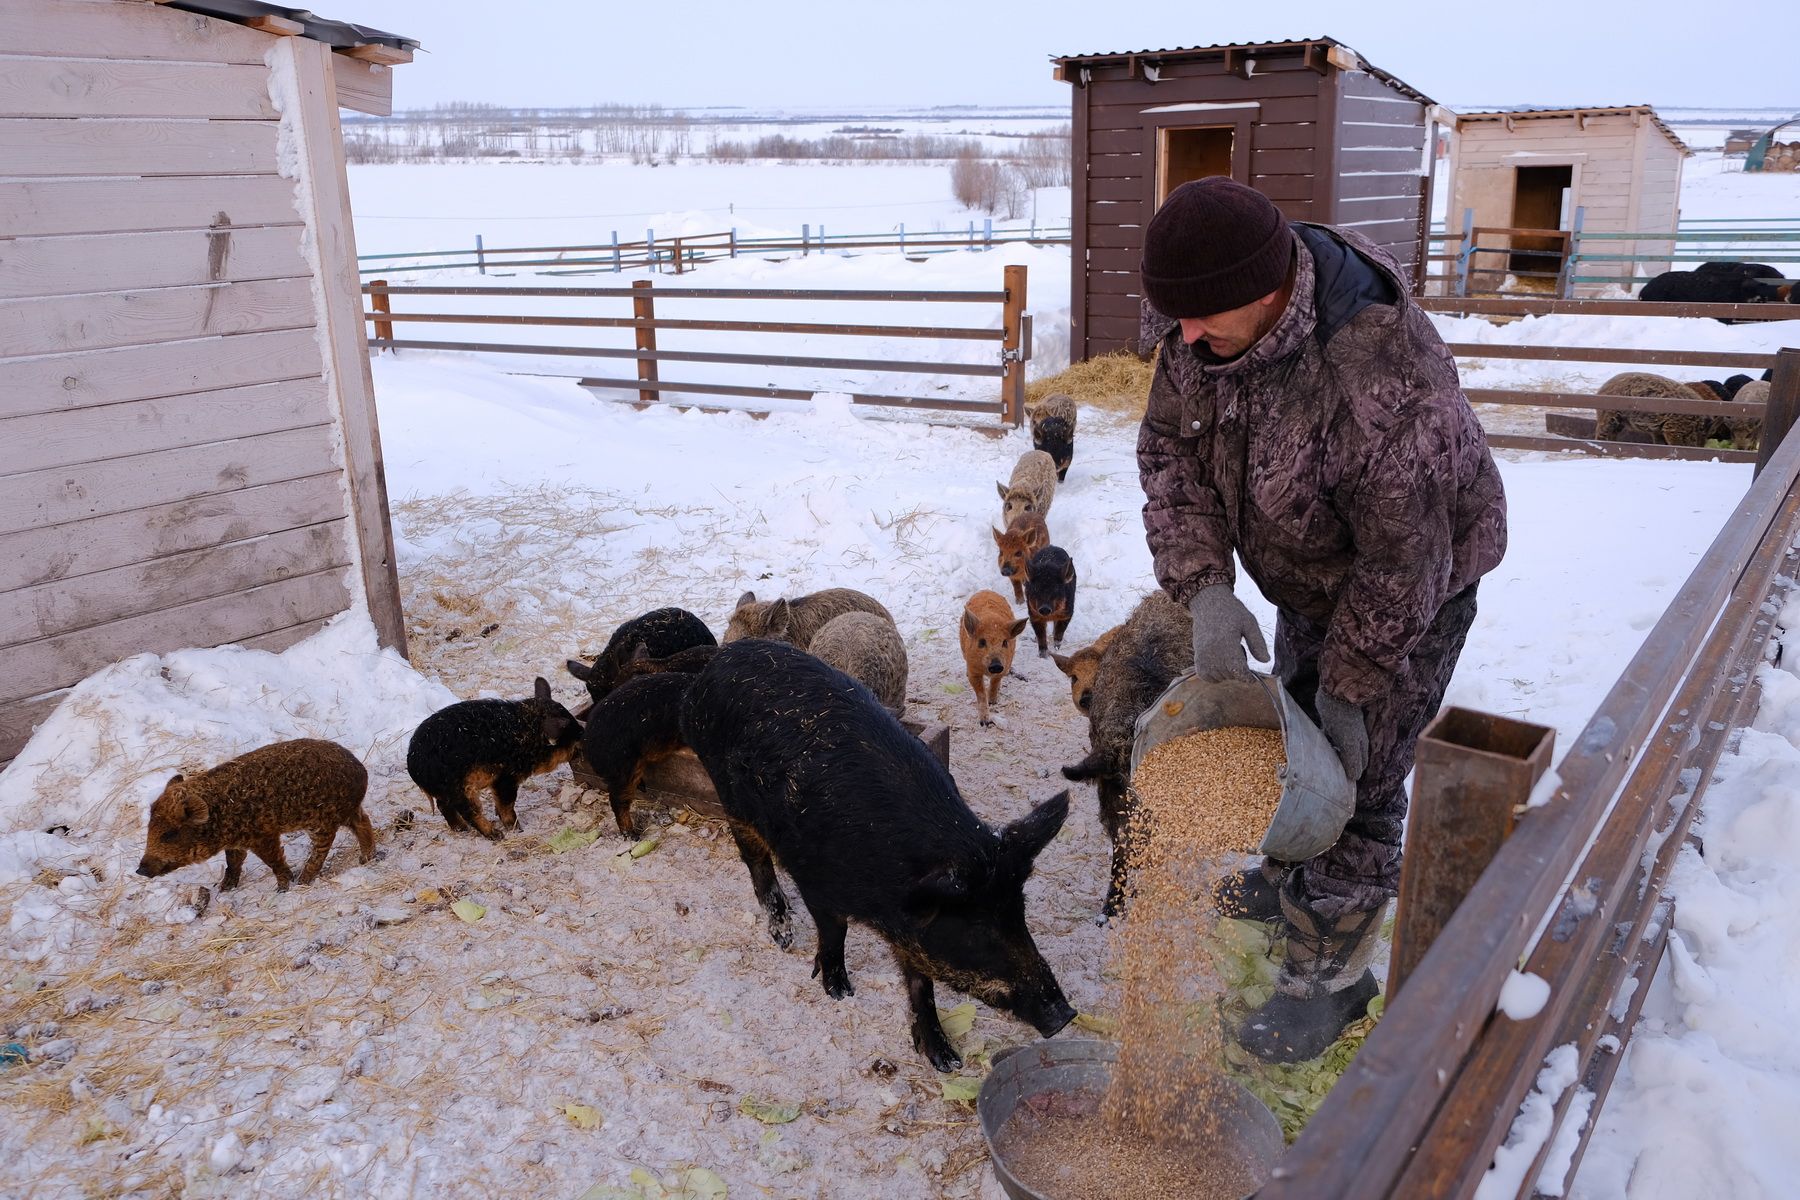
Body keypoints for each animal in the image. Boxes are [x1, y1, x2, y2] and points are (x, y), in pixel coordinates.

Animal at [673, 636, 1065, 1072]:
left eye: (1018, 914)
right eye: (977, 929)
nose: (1065, 1015)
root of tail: (714, 666)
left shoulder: (911, 926)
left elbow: (920, 981)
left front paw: (946, 1061)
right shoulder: (816, 882)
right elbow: (835, 932)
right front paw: (839, 991)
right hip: (730, 795)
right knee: (755, 859)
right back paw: (783, 935)